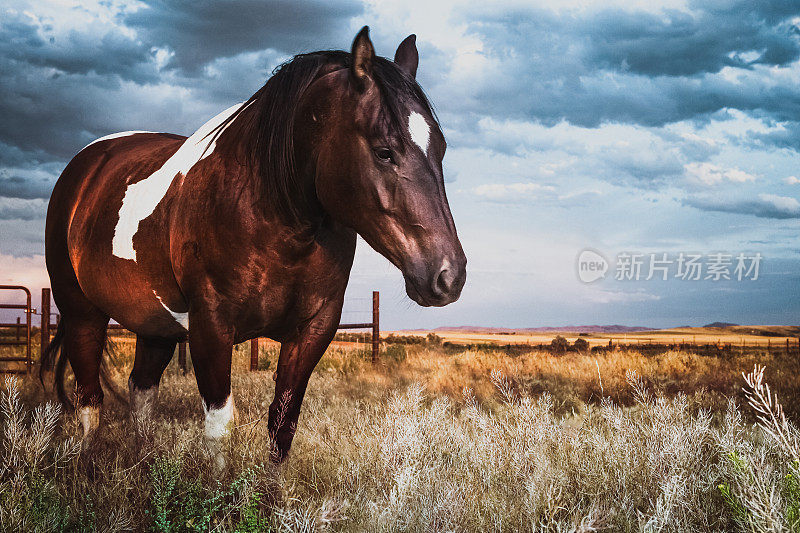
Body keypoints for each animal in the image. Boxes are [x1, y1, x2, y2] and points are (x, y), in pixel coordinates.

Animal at [42, 28, 468, 462]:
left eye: (441, 149)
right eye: (384, 151)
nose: (448, 276)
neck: (273, 217)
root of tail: (86, 164)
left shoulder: (313, 330)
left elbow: (282, 426)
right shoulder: (211, 327)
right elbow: (219, 429)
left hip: (155, 325)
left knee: (141, 392)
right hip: (82, 313)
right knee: (89, 401)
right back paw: (87, 465)